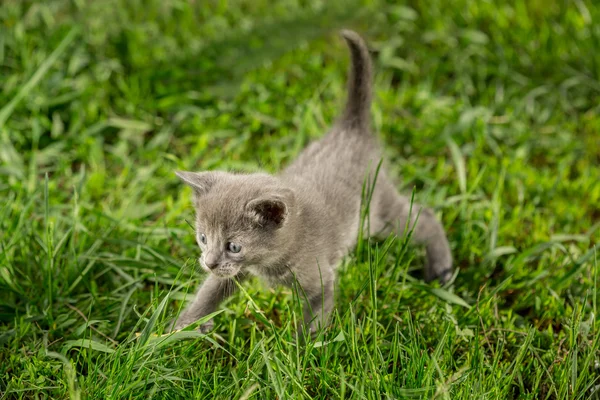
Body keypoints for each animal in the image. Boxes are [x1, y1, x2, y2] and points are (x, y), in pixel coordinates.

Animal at [171, 29, 452, 334]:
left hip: (380, 214)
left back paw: (442, 269)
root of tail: (349, 129)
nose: (209, 262)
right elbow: (209, 292)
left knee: (424, 217)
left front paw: (303, 345)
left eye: (234, 246)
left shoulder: (320, 279)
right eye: (203, 238)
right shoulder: (232, 272)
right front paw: (179, 329)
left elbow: (314, 319)